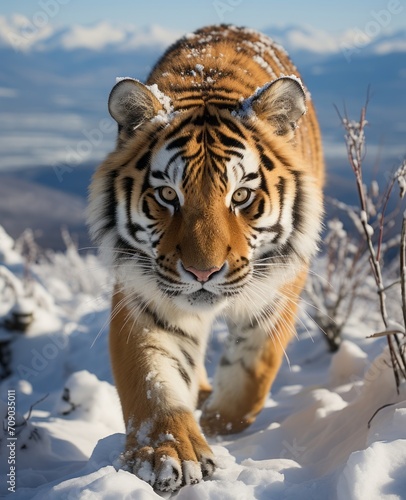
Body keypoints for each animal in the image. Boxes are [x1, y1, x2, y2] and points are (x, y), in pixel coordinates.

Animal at [88, 24, 324, 492]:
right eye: (167, 194)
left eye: (242, 196)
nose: (203, 271)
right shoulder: (146, 297)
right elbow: (152, 379)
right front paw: (170, 453)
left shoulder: (279, 289)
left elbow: (253, 371)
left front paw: (217, 424)